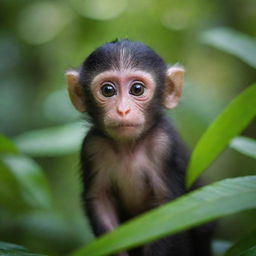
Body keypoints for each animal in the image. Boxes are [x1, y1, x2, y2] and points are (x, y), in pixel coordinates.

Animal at [65, 39, 212, 255]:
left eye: (137, 89)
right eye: (108, 90)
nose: (123, 110)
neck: (129, 148)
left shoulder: (164, 146)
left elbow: (167, 207)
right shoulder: (92, 147)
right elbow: (100, 200)